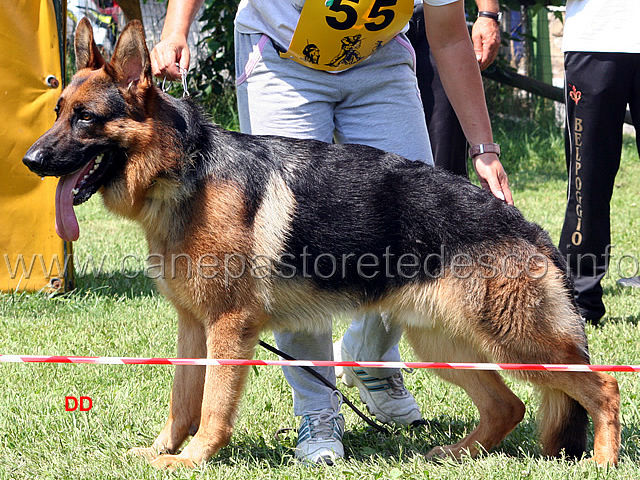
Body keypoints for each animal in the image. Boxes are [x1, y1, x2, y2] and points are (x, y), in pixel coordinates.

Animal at [23, 18, 620, 468]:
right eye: (57, 112)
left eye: (85, 119)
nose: (30, 160)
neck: (184, 170)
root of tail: (528, 227)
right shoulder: (194, 326)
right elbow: (181, 400)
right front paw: (161, 452)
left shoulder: (229, 328)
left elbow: (212, 406)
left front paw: (193, 461)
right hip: (446, 344)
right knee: (507, 408)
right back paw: (454, 454)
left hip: (517, 343)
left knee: (602, 388)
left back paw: (603, 461)